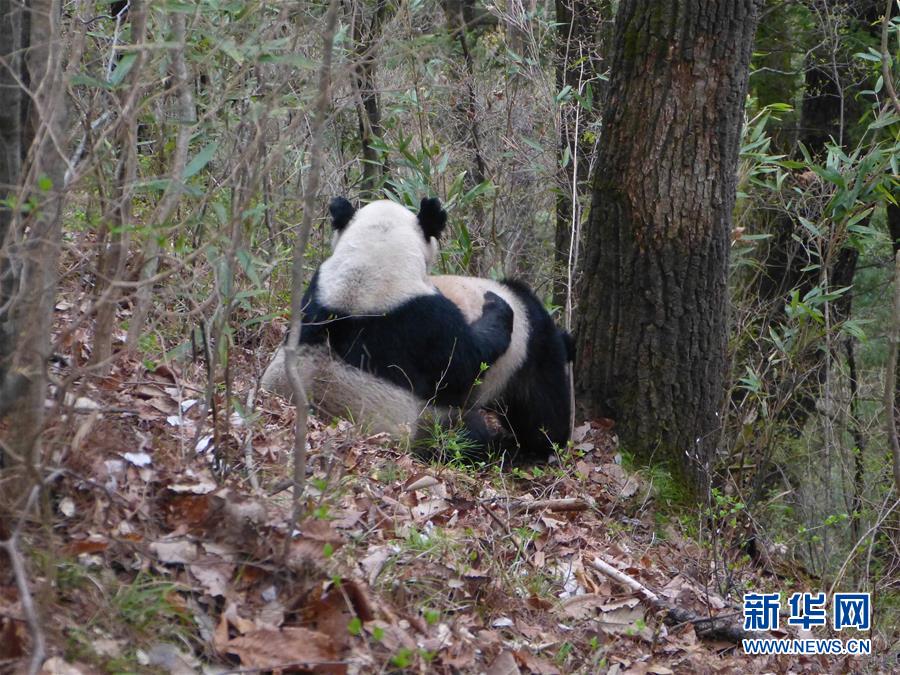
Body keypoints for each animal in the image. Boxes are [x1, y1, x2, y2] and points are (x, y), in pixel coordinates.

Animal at [260, 195, 568, 464]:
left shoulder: (316, 294)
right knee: (508, 417)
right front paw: (497, 308)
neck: (369, 265)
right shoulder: (424, 323)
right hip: (428, 419)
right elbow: (464, 364)